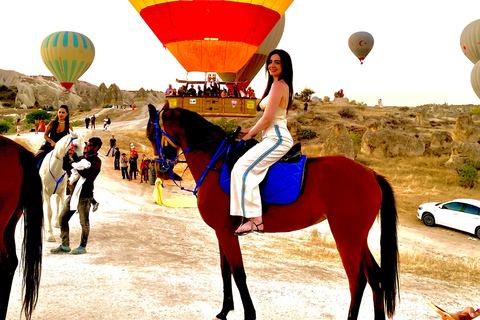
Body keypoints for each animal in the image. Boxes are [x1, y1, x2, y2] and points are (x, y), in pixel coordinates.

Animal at [147, 105, 402, 320]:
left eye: (151, 135)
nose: (161, 169)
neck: (215, 161)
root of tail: (372, 175)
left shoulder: (226, 232)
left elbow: (238, 273)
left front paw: (249, 314)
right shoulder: (222, 232)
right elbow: (225, 271)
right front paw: (225, 310)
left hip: (346, 237)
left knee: (357, 282)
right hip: (356, 238)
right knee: (376, 277)